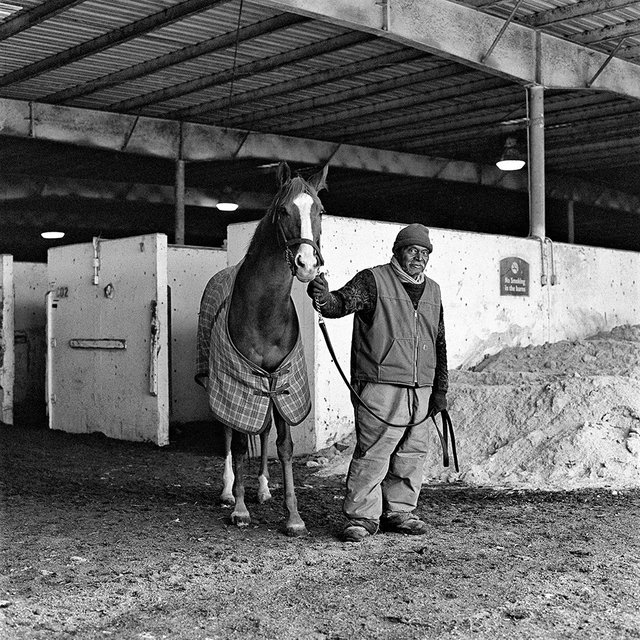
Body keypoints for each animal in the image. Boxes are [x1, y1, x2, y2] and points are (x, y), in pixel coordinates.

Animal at [195, 160, 328, 536]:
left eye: (319, 210)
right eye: (283, 211)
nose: (307, 264)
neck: (265, 310)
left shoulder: (281, 380)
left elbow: (283, 445)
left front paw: (293, 516)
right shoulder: (239, 378)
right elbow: (240, 442)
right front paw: (240, 509)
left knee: (263, 429)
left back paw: (265, 489)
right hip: (219, 379)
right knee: (228, 431)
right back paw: (228, 491)